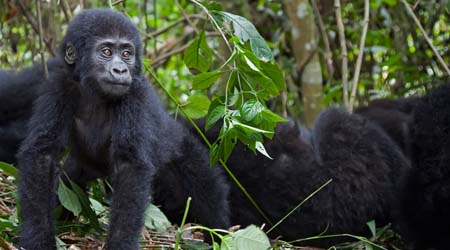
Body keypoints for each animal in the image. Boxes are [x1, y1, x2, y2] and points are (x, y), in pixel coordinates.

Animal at [14, 8, 229, 249]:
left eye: (127, 54)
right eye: (106, 52)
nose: (120, 69)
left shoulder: (134, 95)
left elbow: (130, 168)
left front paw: (120, 243)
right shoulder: (59, 86)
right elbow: (42, 154)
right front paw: (37, 237)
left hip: (184, 149)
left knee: (206, 191)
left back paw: (219, 233)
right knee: (69, 179)